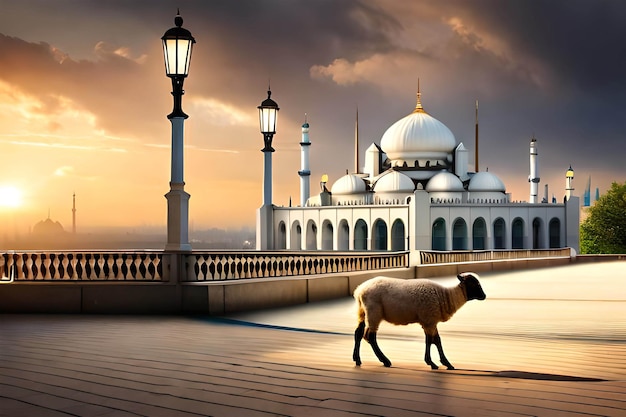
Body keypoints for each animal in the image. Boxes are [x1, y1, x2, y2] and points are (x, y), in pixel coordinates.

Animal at [348, 272, 486, 368]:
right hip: (374, 312)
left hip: (362, 312)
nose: (484, 296)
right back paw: (385, 361)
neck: (446, 297)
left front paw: (447, 363)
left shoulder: (430, 321)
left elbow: (436, 340)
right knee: (370, 336)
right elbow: (430, 341)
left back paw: (357, 359)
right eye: (475, 283)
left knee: (358, 333)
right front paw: (432, 363)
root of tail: (359, 291)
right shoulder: (428, 320)